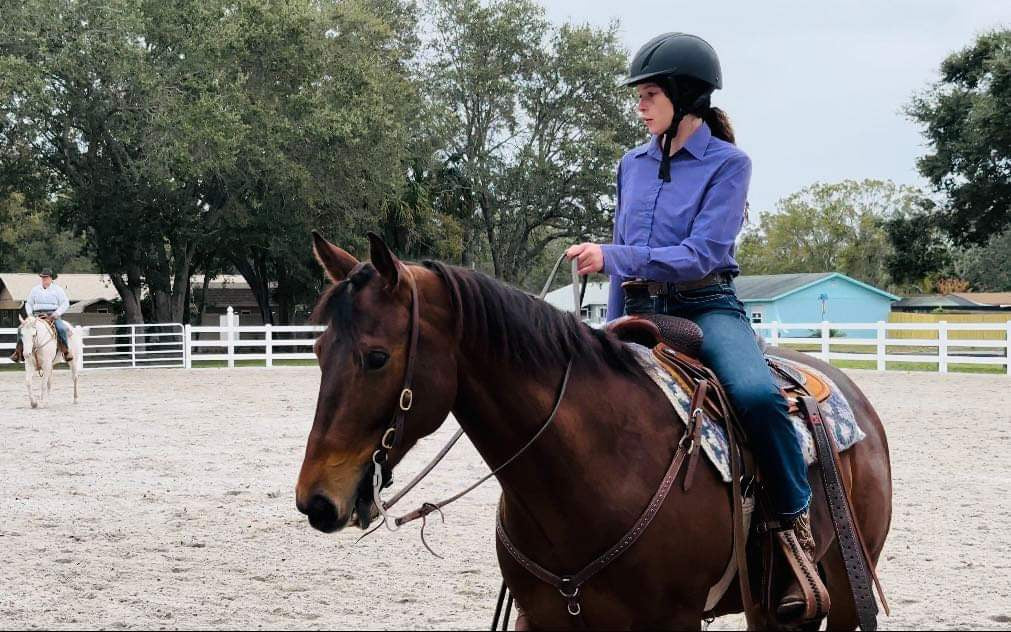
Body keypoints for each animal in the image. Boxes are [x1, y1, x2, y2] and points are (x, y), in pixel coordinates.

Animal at [295, 232, 893, 630]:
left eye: (377, 357)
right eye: (319, 350)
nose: (316, 500)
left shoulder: (672, 623)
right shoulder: (544, 618)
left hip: (843, 590)